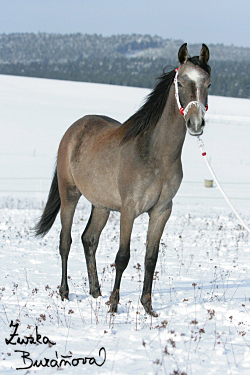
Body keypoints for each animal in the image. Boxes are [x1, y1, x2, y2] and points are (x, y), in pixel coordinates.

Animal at [34, 43, 211, 318]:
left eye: (208, 84)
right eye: (181, 82)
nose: (195, 123)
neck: (155, 154)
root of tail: (73, 131)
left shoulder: (161, 211)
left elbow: (151, 258)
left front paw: (148, 307)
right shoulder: (129, 210)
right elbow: (122, 257)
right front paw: (114, 305)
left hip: (101, 205)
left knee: (89, 240)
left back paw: (96, 292)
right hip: (69, 194)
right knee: (66, 241)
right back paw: (64, 292)